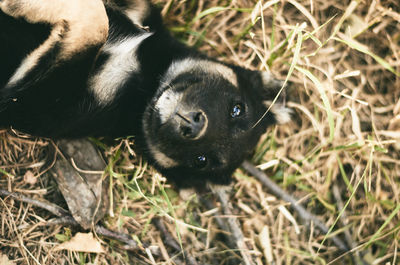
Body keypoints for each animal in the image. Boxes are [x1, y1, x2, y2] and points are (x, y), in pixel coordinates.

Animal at [0, 1, 290, 189]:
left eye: (201, 161)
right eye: (237, 109)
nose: (193, 125)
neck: (147, 84)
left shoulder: (35, 104)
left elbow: (95, 26)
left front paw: (19, 5)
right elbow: (98, 13)